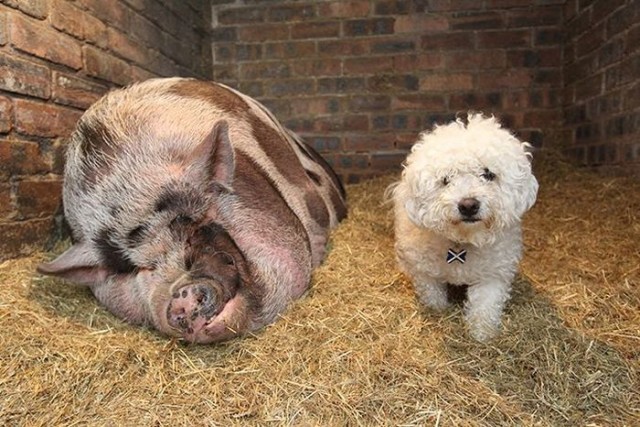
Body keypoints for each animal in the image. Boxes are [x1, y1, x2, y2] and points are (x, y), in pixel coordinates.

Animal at [392, 113, 536, 342]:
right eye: (446, 179)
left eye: (488, 174)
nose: (468, 205)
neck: (463, 241)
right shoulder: (425, 272)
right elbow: (432, 294)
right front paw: (438, 311)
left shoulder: (492, 276)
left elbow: (485, 305)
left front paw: (482, 333)